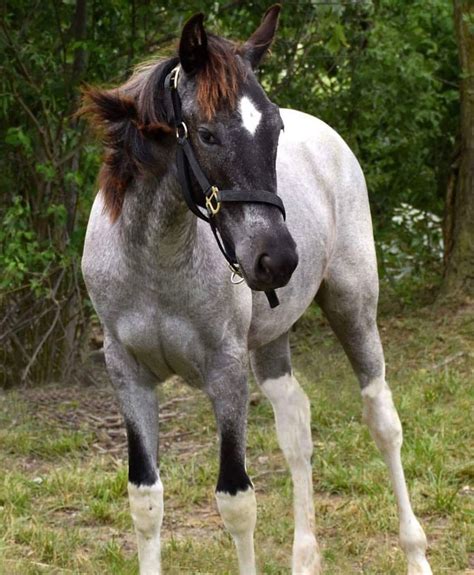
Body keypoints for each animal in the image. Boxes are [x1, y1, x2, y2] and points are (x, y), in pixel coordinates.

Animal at [81, 5, 434, 575]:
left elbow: (236, 501)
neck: (155, 264)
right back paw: (305, 557)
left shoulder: (225, 373)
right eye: (206, 135)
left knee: (382, 419)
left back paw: (415, 553)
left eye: (275, 128)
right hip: (271, 340)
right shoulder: (127, 374)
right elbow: (145, 499)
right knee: (296, 424)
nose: (278, 260)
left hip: (353, 306)